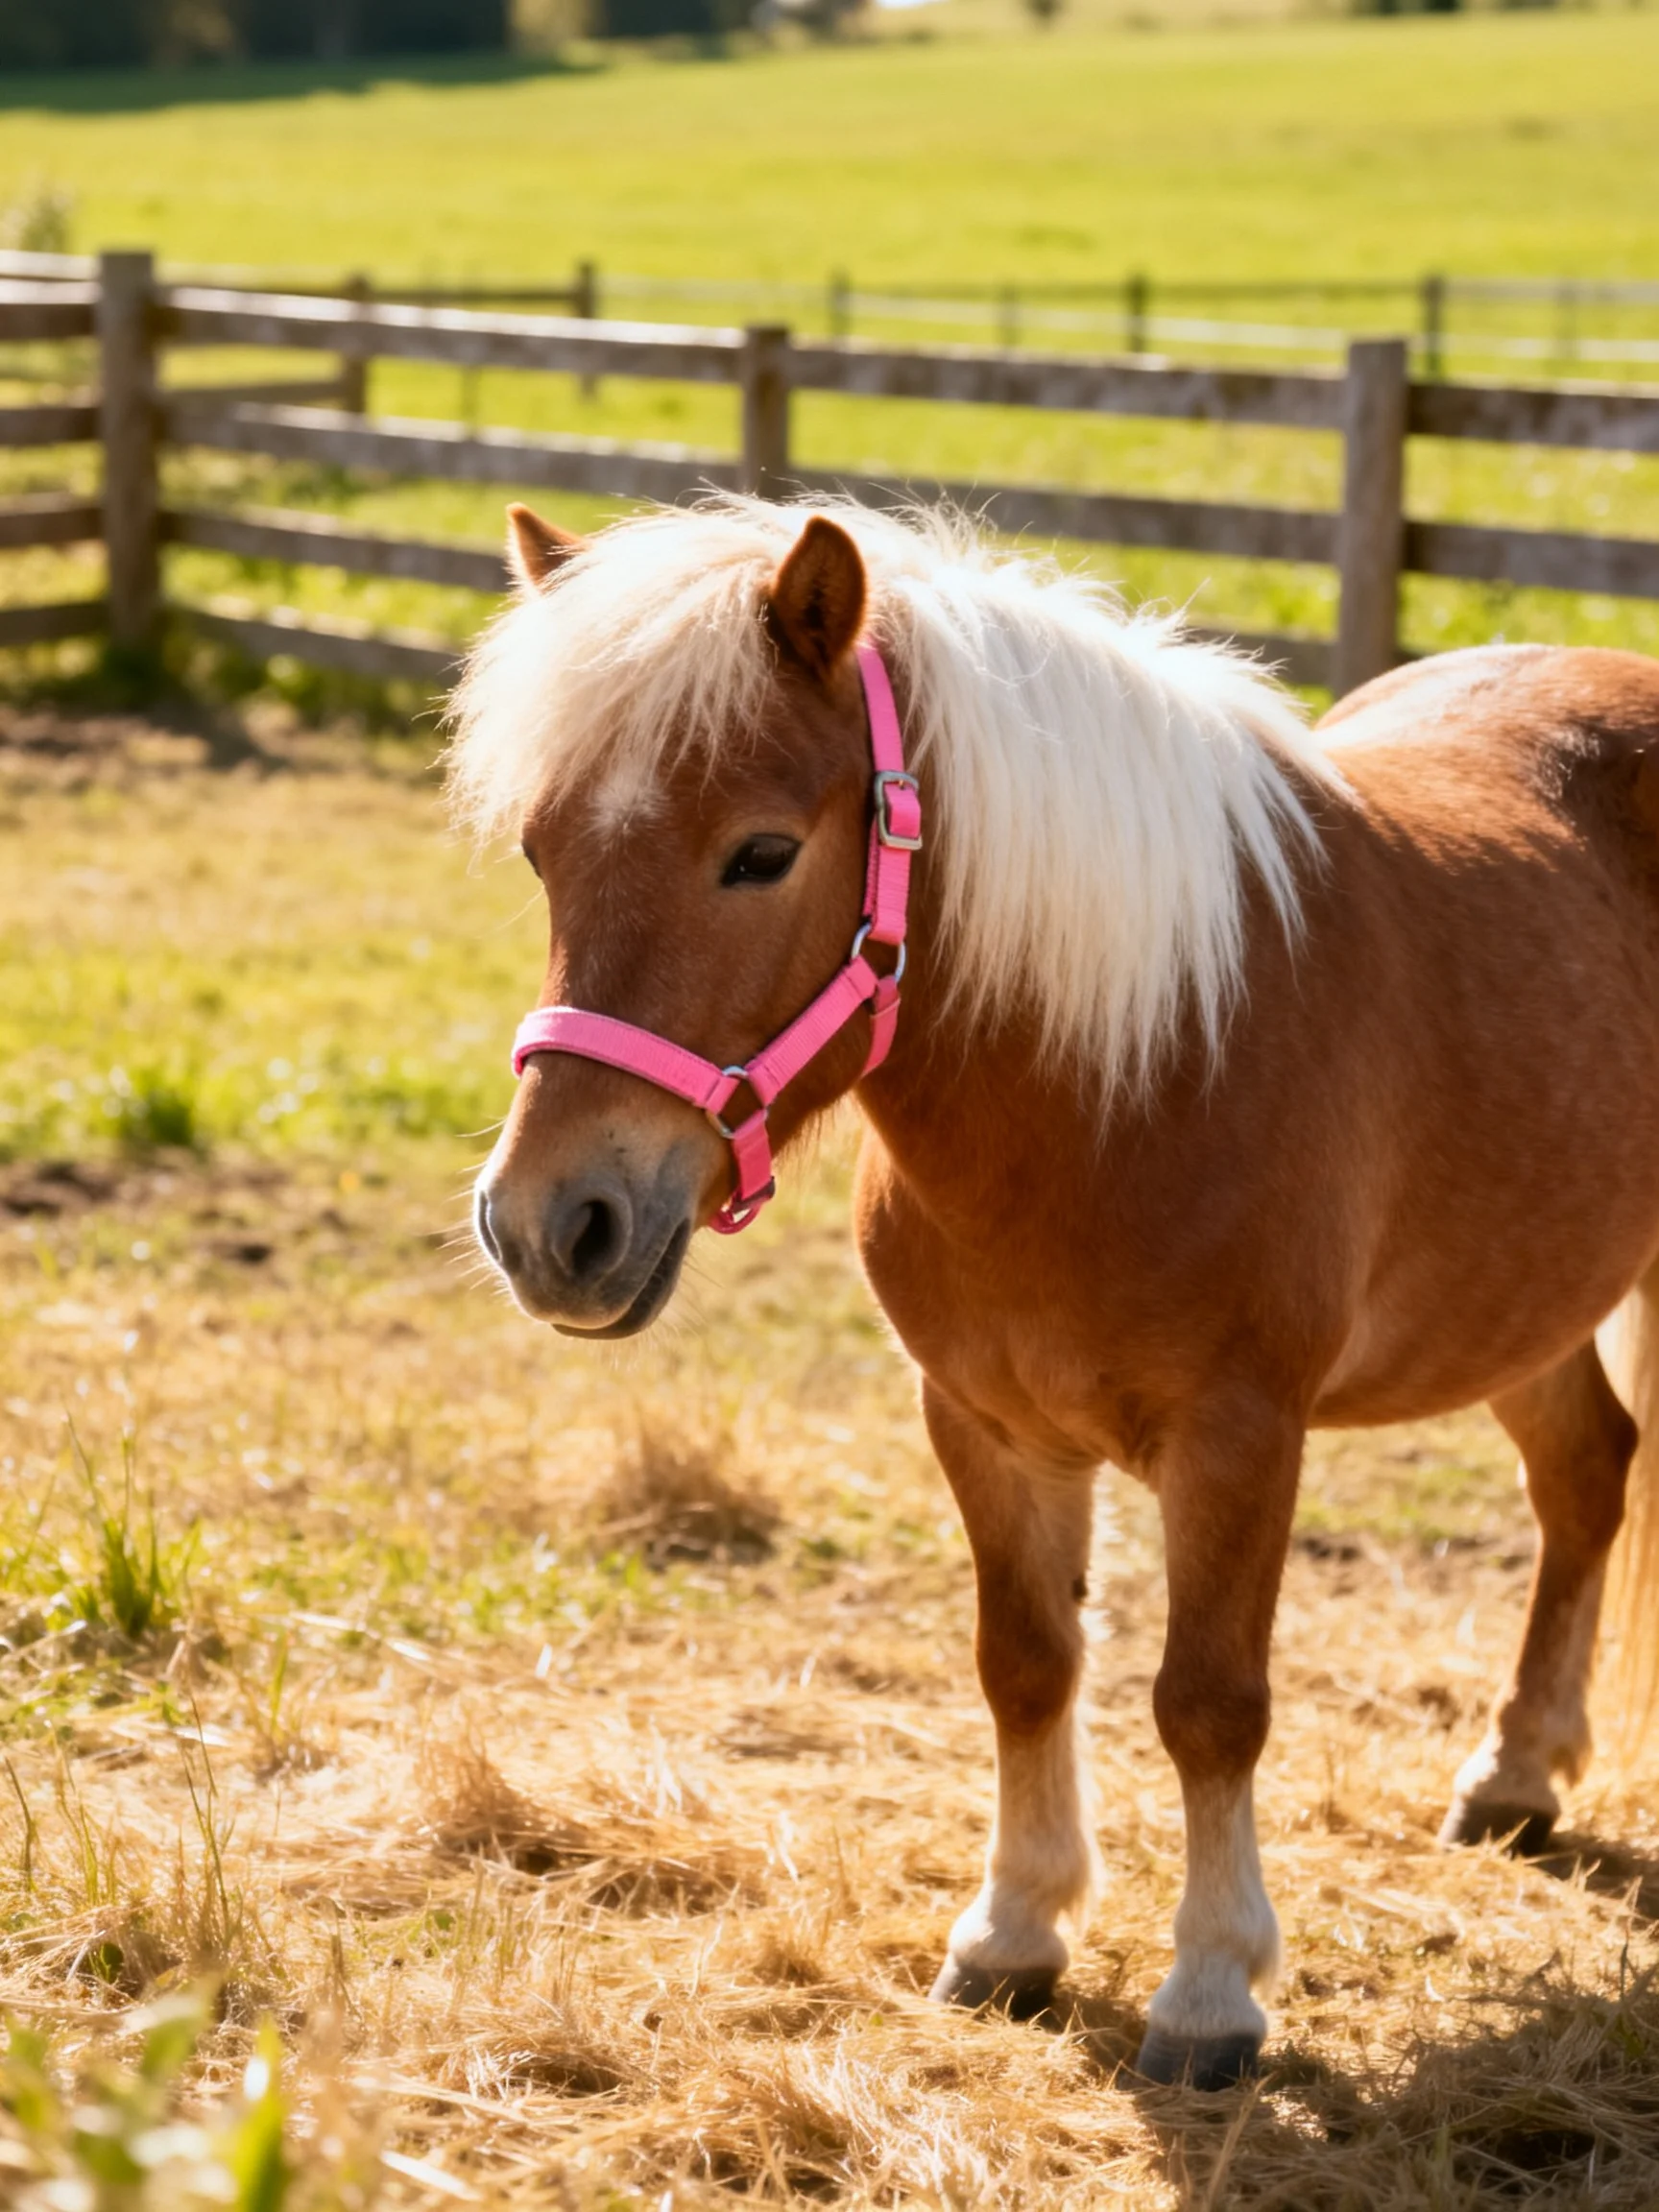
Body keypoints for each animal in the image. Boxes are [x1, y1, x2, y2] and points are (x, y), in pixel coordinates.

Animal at [450, 492, 1659, 2089]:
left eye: (761, 853)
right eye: (540, 854)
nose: (549, 1226)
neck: (1124, 1073)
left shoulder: (1237, 1438)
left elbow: (1209, 1704)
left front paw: (1210, 1990)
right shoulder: (983, 1423)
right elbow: (1025, 1665)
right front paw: (1014, 1933)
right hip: (1524, 1289)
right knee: (1585, 1472)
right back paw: (1518, 1779)